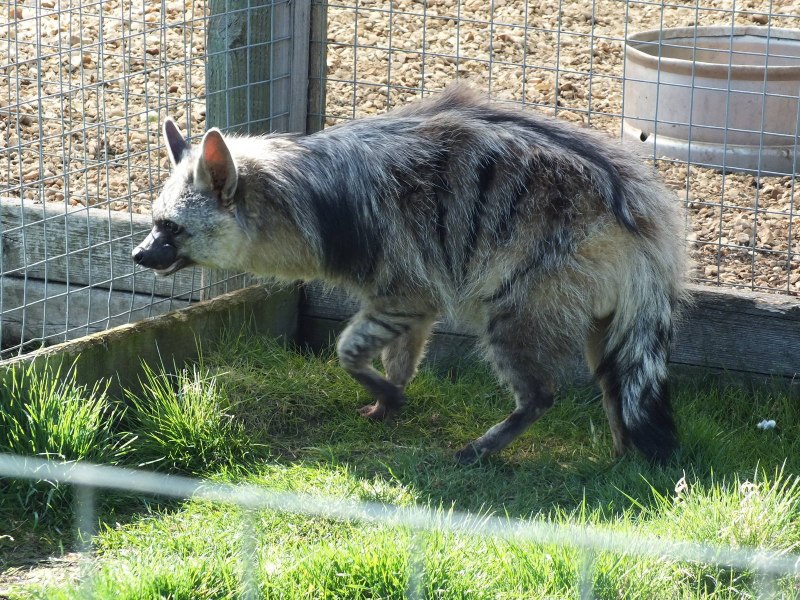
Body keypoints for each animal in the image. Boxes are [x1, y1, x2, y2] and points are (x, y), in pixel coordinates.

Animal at [132, 84, 687, 465]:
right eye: (154, 221)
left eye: (171, 228)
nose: (139, 255)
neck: (311, 201)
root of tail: (645, 217)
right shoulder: (416, 288)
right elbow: (403, 353)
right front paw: (388, 399)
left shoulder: (401, 276)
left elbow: (348, 348)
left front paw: (383, 392)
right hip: (604, 310)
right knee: (614, 374)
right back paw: (621, 453)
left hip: (530, 290)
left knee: (541, 387)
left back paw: (484, 445)